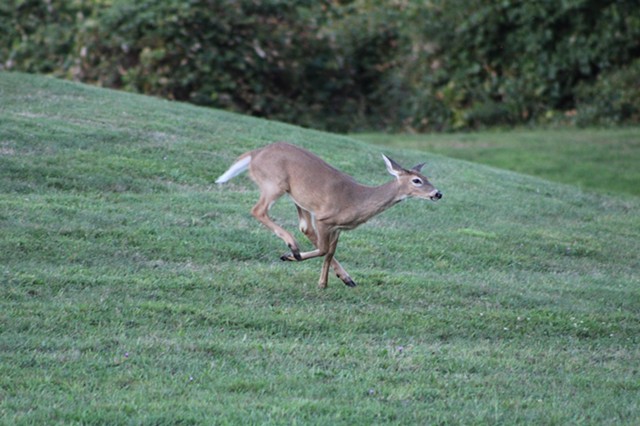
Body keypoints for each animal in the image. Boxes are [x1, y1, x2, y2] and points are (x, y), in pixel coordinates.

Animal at [215, 142, 442, 289]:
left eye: (426, 177)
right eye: (416, 181)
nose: (438, 193)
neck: (358, 200)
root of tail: (255, 154)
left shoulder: (338, 227)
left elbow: (330, 252)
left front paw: (325, 283)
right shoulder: (324, 219)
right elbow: (324, 250)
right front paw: (291, 258)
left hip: (297, 196)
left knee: (303, 226)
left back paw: (344, 277)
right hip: (274, 183)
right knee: (258, 210)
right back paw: (293, 248)